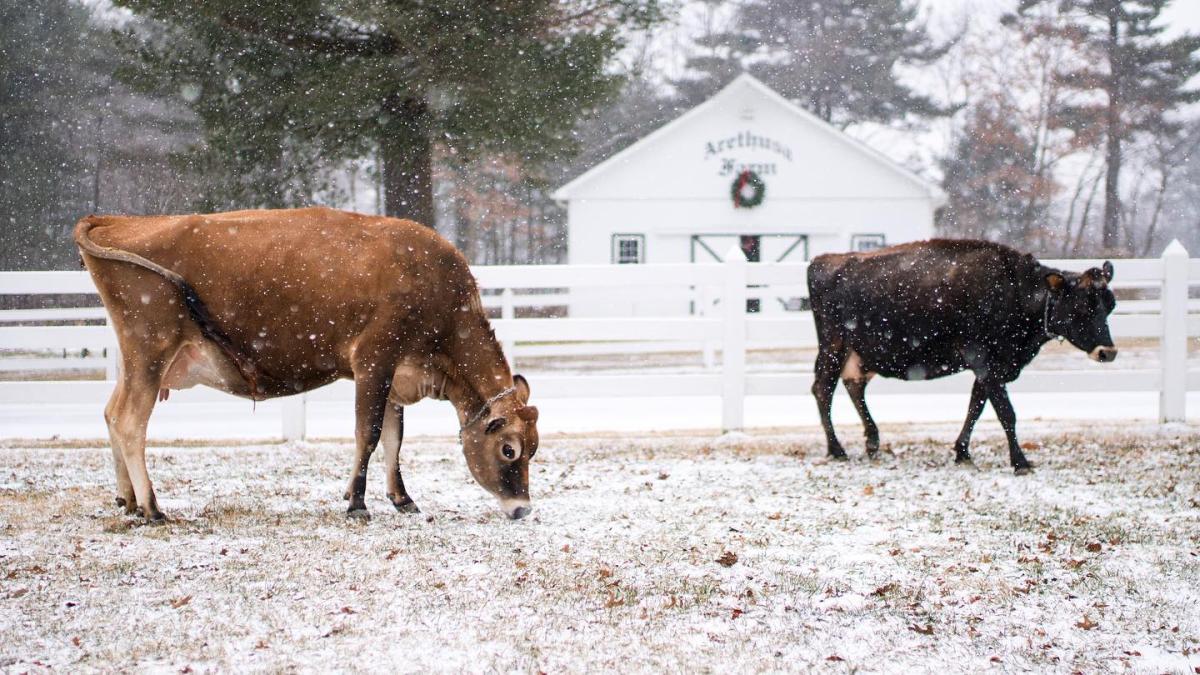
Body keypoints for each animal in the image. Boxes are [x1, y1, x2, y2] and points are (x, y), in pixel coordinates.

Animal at [75, 205, 540, 521]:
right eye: (509, 449)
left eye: (533, 448)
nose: (523, 509)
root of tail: (114, 220)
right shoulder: (374, 359)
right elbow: (369, 434)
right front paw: (356, 502)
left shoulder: (395, 374)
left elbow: (394, 439)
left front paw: (402, 498)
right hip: (151, 351)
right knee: (129, 421)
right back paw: (152, 507)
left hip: (134, 361)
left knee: (110, 413)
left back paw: (128, 501)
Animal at [801, 237, 1118, 473]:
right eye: (1081, 307)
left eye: (1110, 305)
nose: (1108, 352)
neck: (1015, 291)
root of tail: (825, 260)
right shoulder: (985, 361)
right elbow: (1005, 412)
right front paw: (1020, 462)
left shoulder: (992, 367)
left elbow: (976, 406)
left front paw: (962, 452)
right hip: (834, 347)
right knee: (823, 390)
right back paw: (837, 449)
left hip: (858, 354)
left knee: (853, 386)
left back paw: (872, 442)